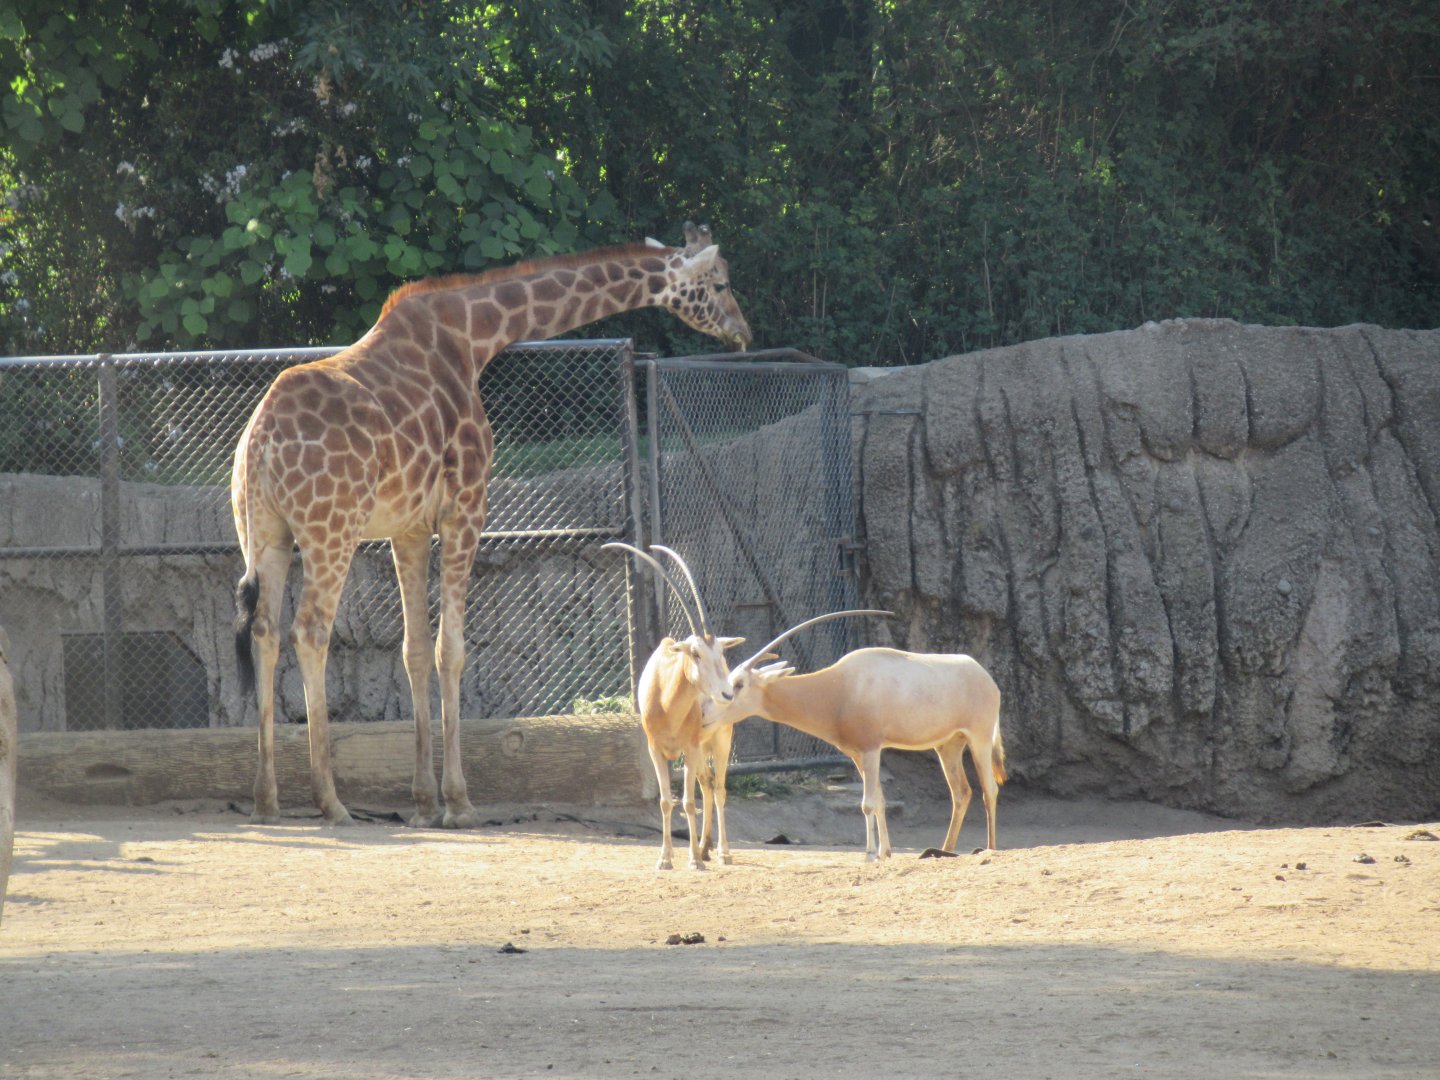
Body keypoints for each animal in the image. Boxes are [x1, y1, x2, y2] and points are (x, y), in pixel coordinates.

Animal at [233, 222, 751, 826]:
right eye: (719, 284)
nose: (742, 331)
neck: (474, 338)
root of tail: (260, 442)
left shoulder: (408, 527)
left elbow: (414, 650)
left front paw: (423, 802)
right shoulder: (466, 506)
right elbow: (451, 650)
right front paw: (459, 801)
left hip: (265, 533)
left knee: (265, 631)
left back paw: (265, 798)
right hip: (329, 530)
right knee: (310, 630)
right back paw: (330, 800)